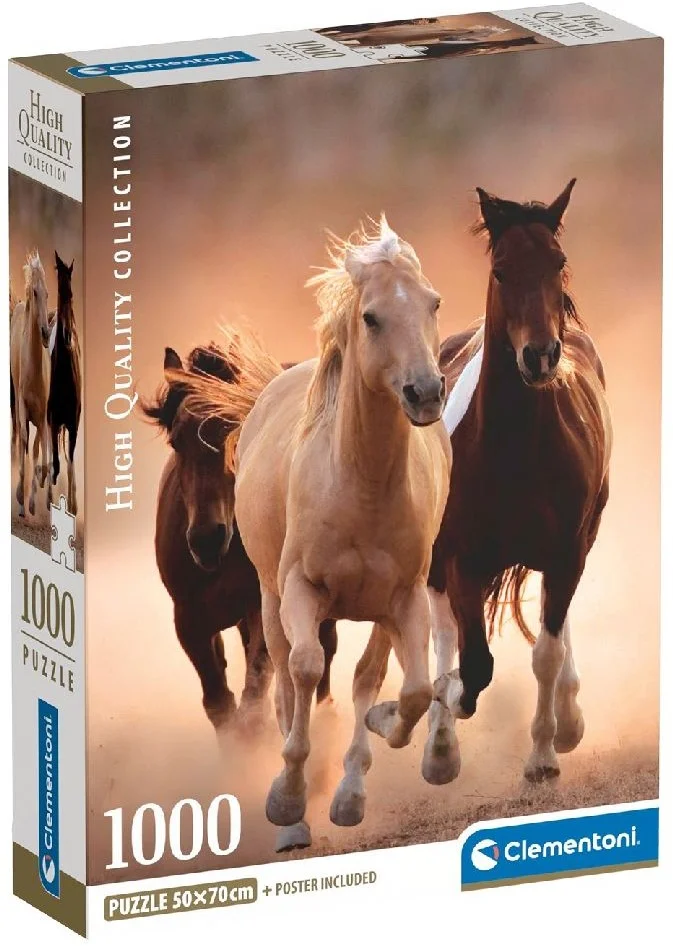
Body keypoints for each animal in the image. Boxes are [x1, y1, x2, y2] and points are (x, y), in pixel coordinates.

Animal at [142, 340, 338, 751]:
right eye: (176, 441)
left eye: (236, 430)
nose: (206, 539)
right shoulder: (189, 619)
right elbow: (219, 703)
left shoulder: (261, 605)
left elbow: (254, 693)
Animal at [204, 217, 450, 850]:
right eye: (371, 317)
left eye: (433, 303)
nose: (425, 393)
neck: (360, 485)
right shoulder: (300, 590)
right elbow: (306, 672)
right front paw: (287, 799)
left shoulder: (404, 598)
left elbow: (406, 689)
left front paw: (368, 761)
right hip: (270, 600)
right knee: (288, 683)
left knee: (368, 677)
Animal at [429, 180, 612, 784]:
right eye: (502, 270)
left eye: (557, 262)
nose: (539, 355)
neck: (514, 451)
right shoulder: (463, 558)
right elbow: (474, 664)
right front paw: (446, 707)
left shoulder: (566, 551)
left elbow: (545, 653)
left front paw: (544, 755)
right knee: (442, 629)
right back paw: (438, 745)